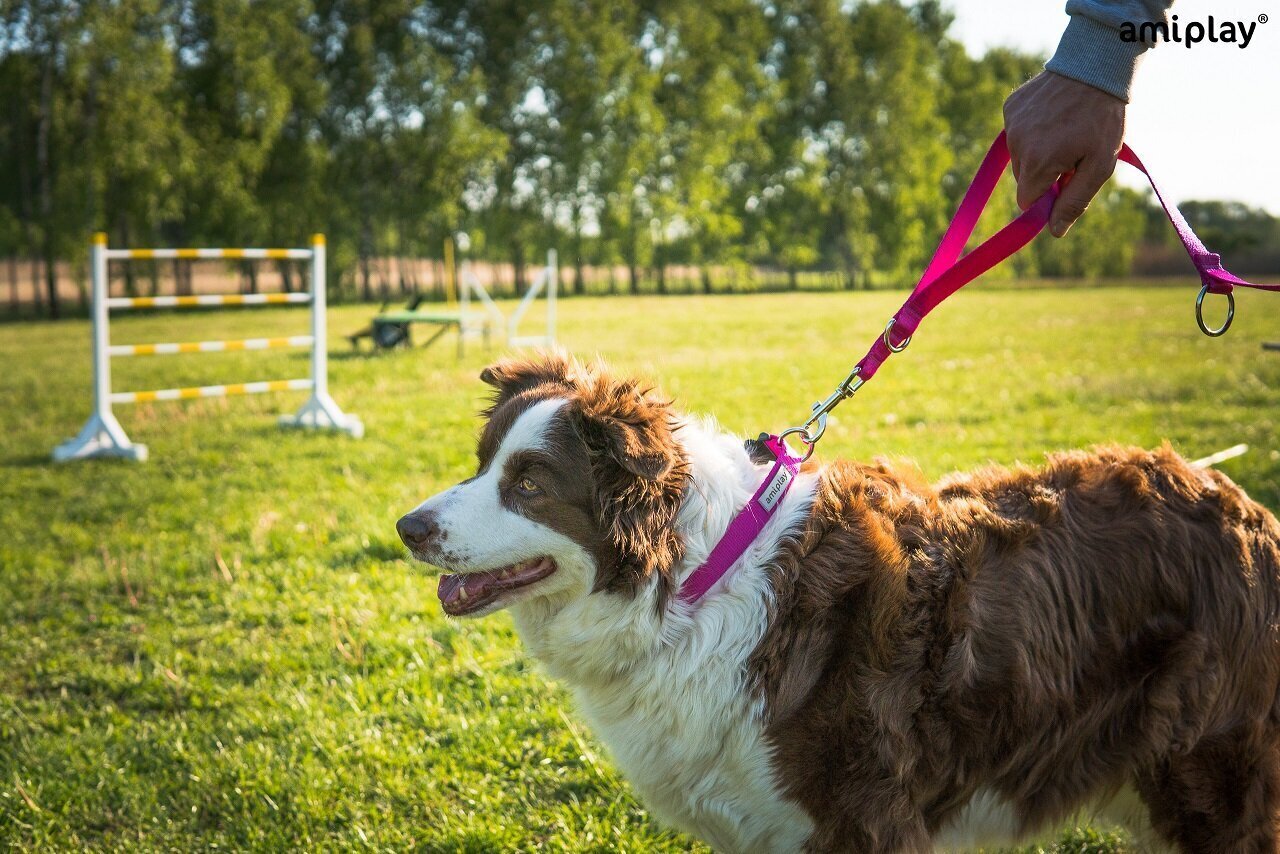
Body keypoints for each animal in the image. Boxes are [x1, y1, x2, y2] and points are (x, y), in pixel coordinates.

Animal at [394, 350, 1280, 850]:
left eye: (529, 484)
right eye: (481, 462)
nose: (406, 527)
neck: (696, 584)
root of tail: (1247, 510)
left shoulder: (864, 817)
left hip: (1211, 779)